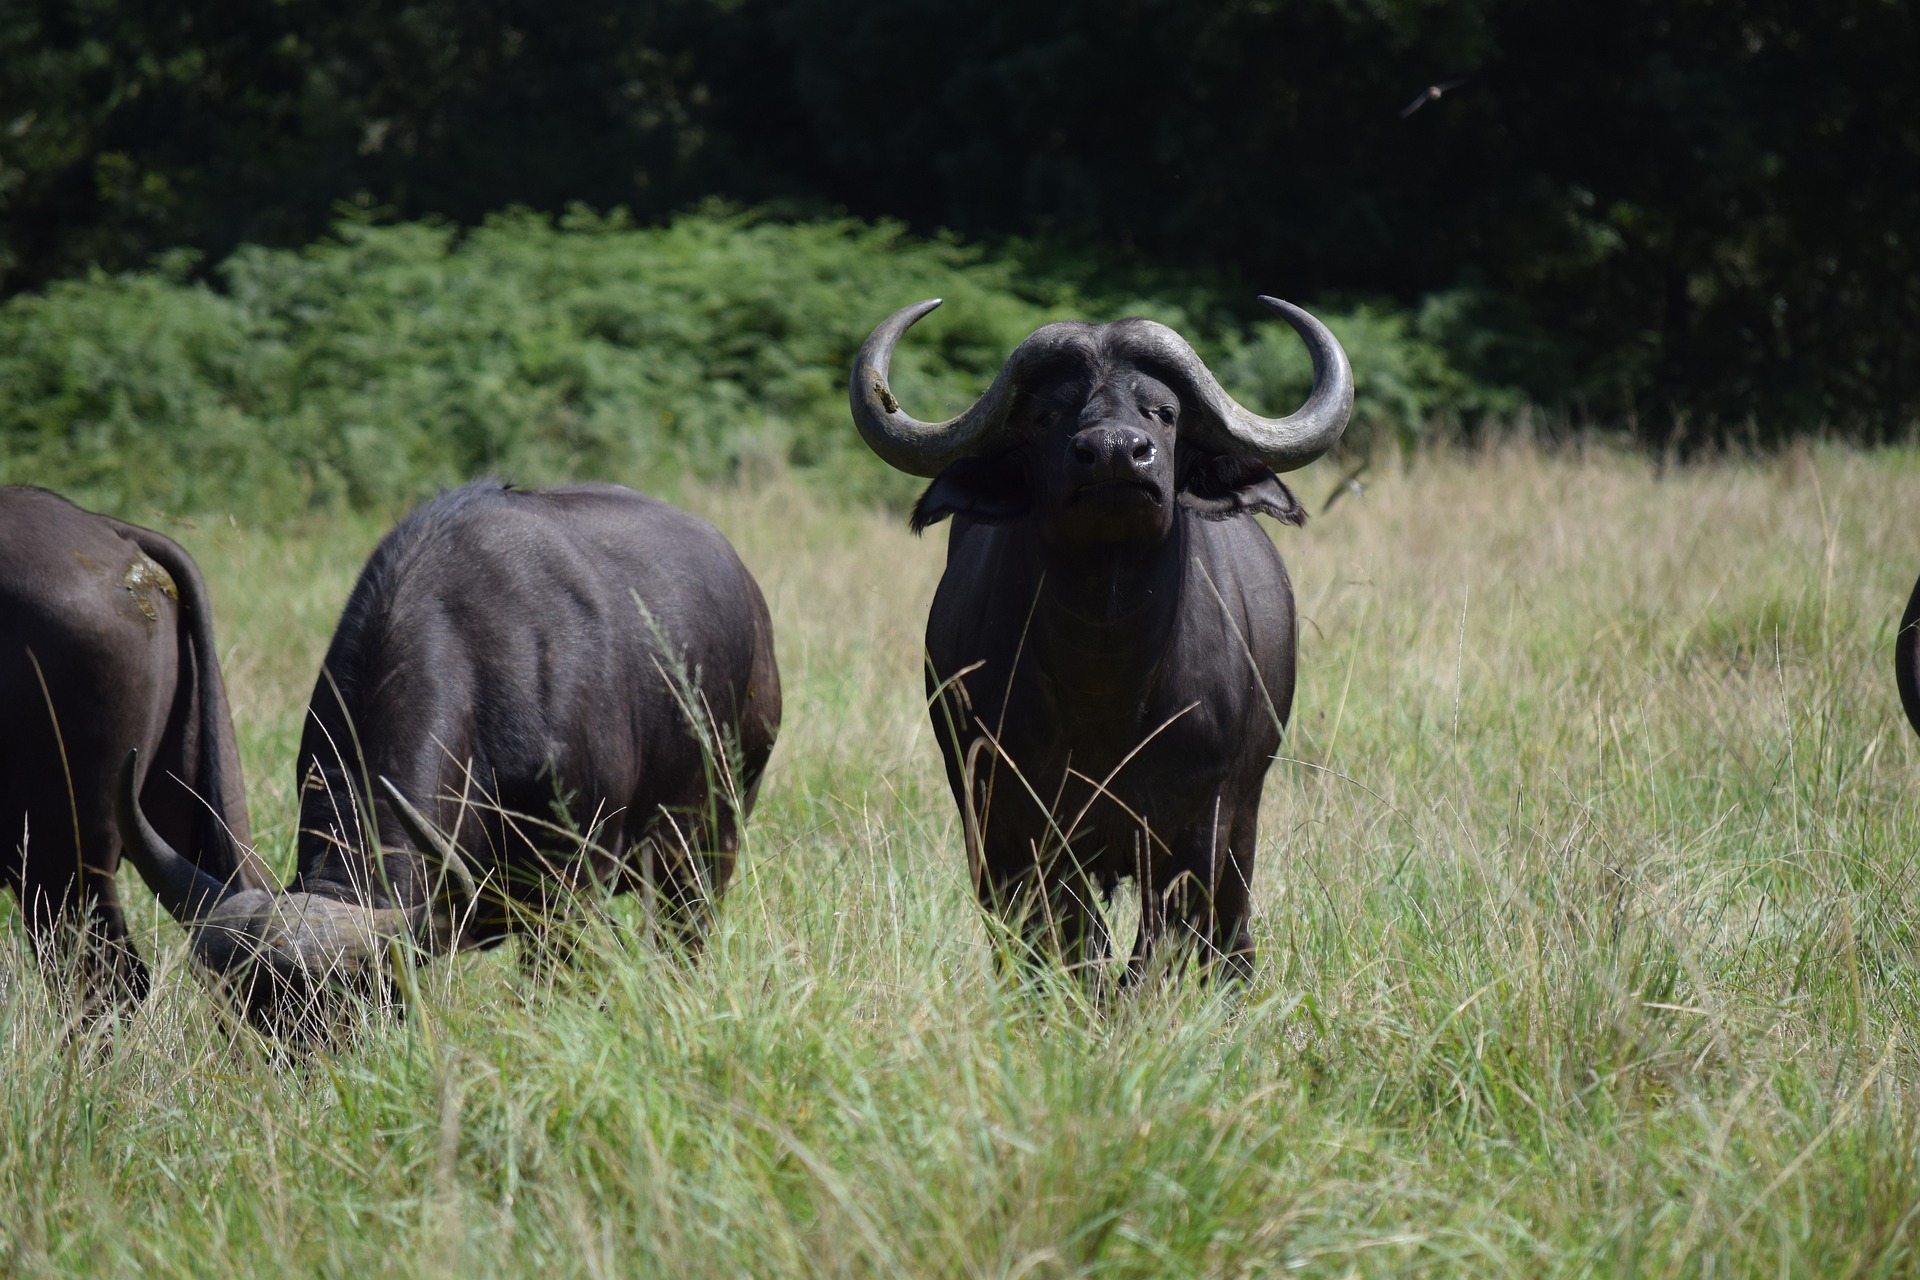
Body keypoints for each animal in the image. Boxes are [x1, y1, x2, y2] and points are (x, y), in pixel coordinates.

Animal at [856, 301, 1351, 982]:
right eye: (1047, 415)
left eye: (1162, 411)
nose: (1116, 454)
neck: (1108, 679)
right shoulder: (1017, 830)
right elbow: (1066, 946)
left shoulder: (1199, 824)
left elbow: (1160, 948)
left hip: (1244, 817)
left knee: (1230, 928)